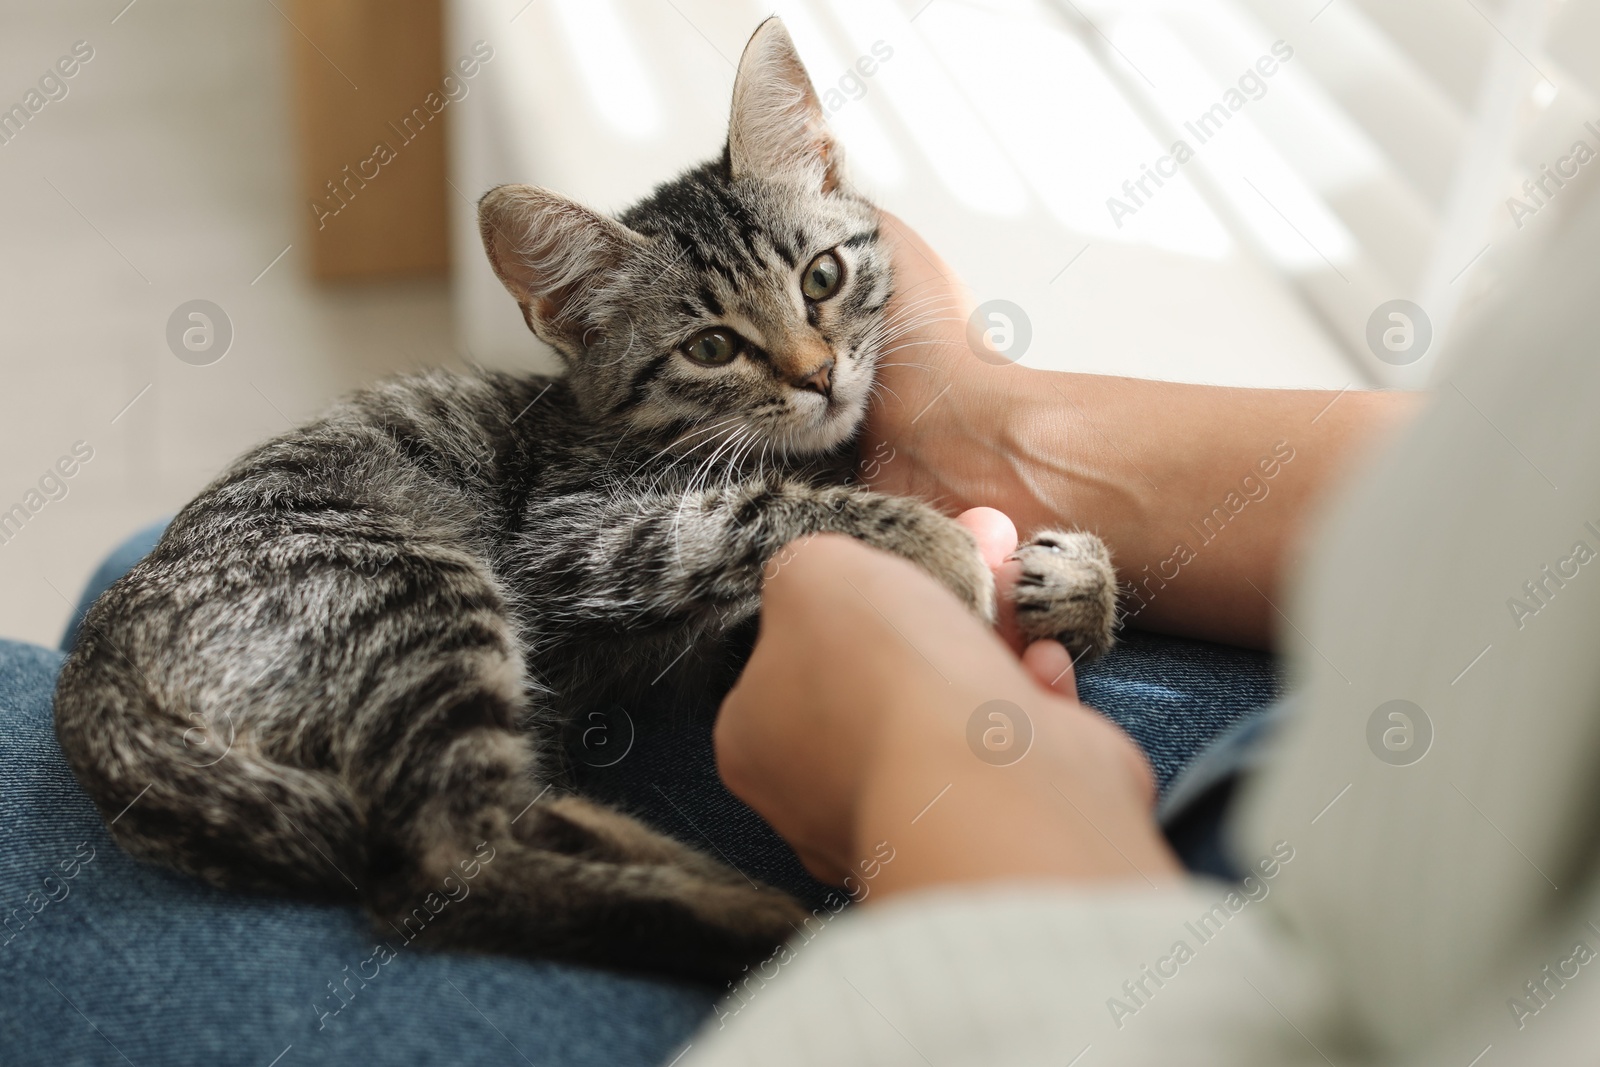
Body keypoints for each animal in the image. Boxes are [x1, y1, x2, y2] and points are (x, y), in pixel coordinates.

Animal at [56, 18, 1120, 985]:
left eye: (823, 276)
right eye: (710, 347)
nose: (819, 375)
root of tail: (94, 672)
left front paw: (1078, 583)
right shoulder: (573, 535)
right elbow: (754, 510)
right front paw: (930, 541)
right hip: (418, 587)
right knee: (436, 861)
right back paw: (747, 922)